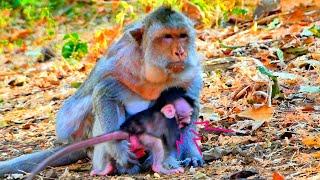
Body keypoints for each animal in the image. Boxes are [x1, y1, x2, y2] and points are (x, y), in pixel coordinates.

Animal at [0, 6, 202, 176]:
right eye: (167, 37)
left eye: (182, 36)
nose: (180, 52)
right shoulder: (121, 62)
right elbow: (103, 93)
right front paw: (119, 149)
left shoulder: (188, 71)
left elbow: (188, 102)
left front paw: (189, 152)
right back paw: (114, 166)